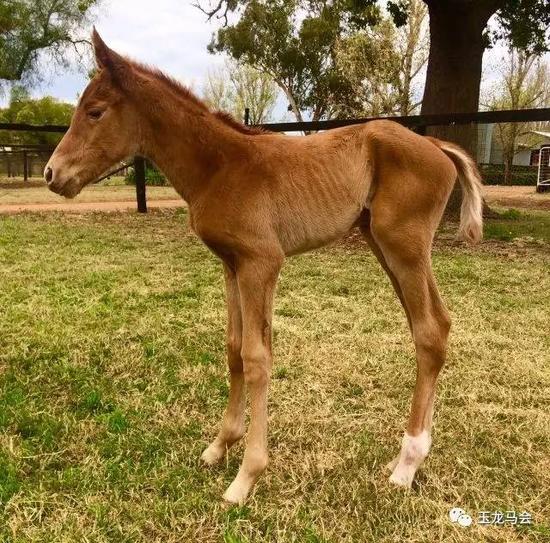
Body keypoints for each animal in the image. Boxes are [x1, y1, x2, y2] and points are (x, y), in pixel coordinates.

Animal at [46, 29, 484, 506]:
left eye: (95, 111)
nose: (52, 174)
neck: (221, 166)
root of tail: (436, 145)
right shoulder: (231, 265)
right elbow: (234, 347)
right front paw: (221, 445)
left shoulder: (261, 263)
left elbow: (257, 358)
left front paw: (246, 475)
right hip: (386, 247)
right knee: (435, 325)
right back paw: (405, 457)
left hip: (403, 246)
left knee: (428, 332)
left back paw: (406, 465)